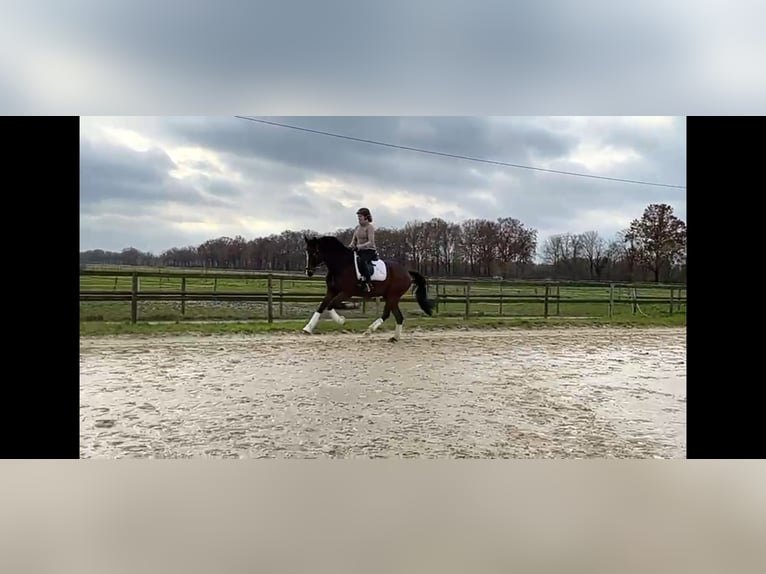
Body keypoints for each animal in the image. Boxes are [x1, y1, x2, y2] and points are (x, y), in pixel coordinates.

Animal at [304, 235, 436, 342]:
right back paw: (395, 337)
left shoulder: (347, 292)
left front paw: (341, 320)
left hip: (392, 296)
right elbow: (322, 306)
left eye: (315, 252)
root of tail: (406, 272)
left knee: (386, 314)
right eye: (307, 252)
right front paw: (307, 328)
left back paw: (369, 330)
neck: (341, 265)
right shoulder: (332, 291)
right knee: (398, 316)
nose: (309, 272)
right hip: (390, 297)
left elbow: (331, 305)